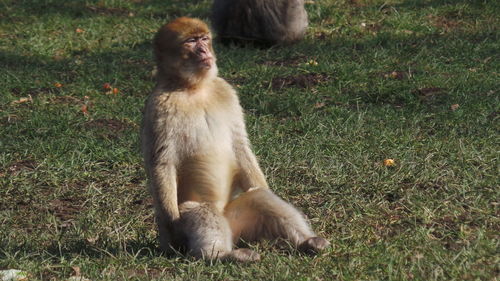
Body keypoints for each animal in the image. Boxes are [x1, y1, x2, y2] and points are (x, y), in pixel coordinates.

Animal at [141, 17, 328, 262]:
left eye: (204, 39)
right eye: (191, 41)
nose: (204, 50)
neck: (194, 88)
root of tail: (230, 231)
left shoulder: (226, 91)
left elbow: (239, 145)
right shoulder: (159, 108)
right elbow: (163, 163)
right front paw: (172, 227)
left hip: (239, 224)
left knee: (258, 197)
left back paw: (308, 241)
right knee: (199, 210)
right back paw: (222, 255)